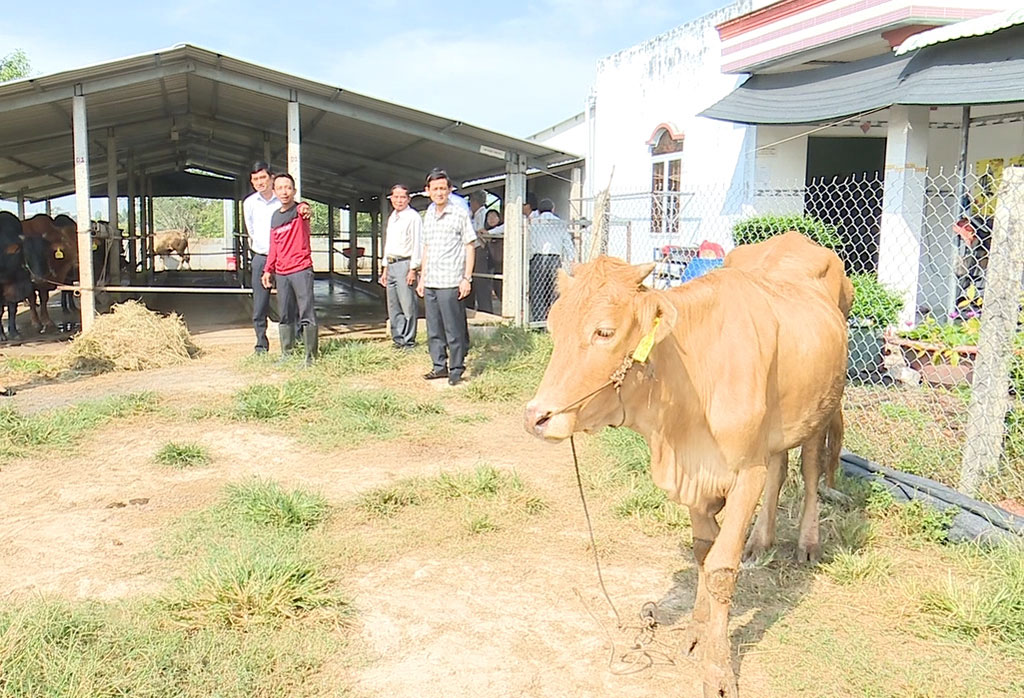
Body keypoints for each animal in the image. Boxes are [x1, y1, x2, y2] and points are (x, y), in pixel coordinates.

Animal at [524, 249, 843, 695]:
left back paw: (808, 543)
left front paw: (719, 671)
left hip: (822, 407)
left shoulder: (746, 472)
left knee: (811, 468)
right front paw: (697, 630)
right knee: (780, 468)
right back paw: (759, 542)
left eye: (604, 332)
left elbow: (721, 570)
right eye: (554, 327)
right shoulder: (695, 474)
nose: (536, 417)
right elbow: (703, 554)